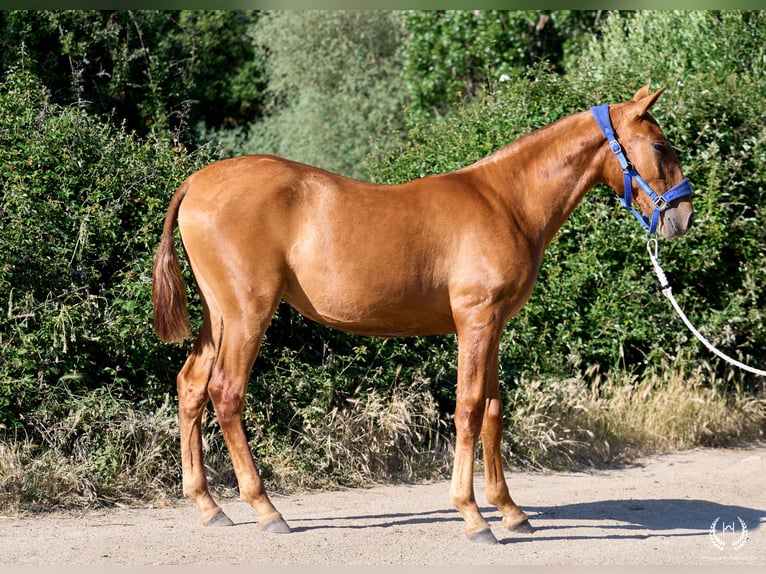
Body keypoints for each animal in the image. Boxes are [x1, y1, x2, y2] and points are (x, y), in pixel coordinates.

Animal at [152, 85, 693, 544]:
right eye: (660, 145)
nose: (683, 216)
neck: (507, 202)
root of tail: (196, 183)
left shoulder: (493, 326)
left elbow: (492, 410)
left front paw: (511, 511)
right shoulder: (475, 322)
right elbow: (468, 409)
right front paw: (474, 516)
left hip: (218, 316)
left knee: (191, 386)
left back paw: (209, 505)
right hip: (248, 314)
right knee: (226, 393)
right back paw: (266, 509)